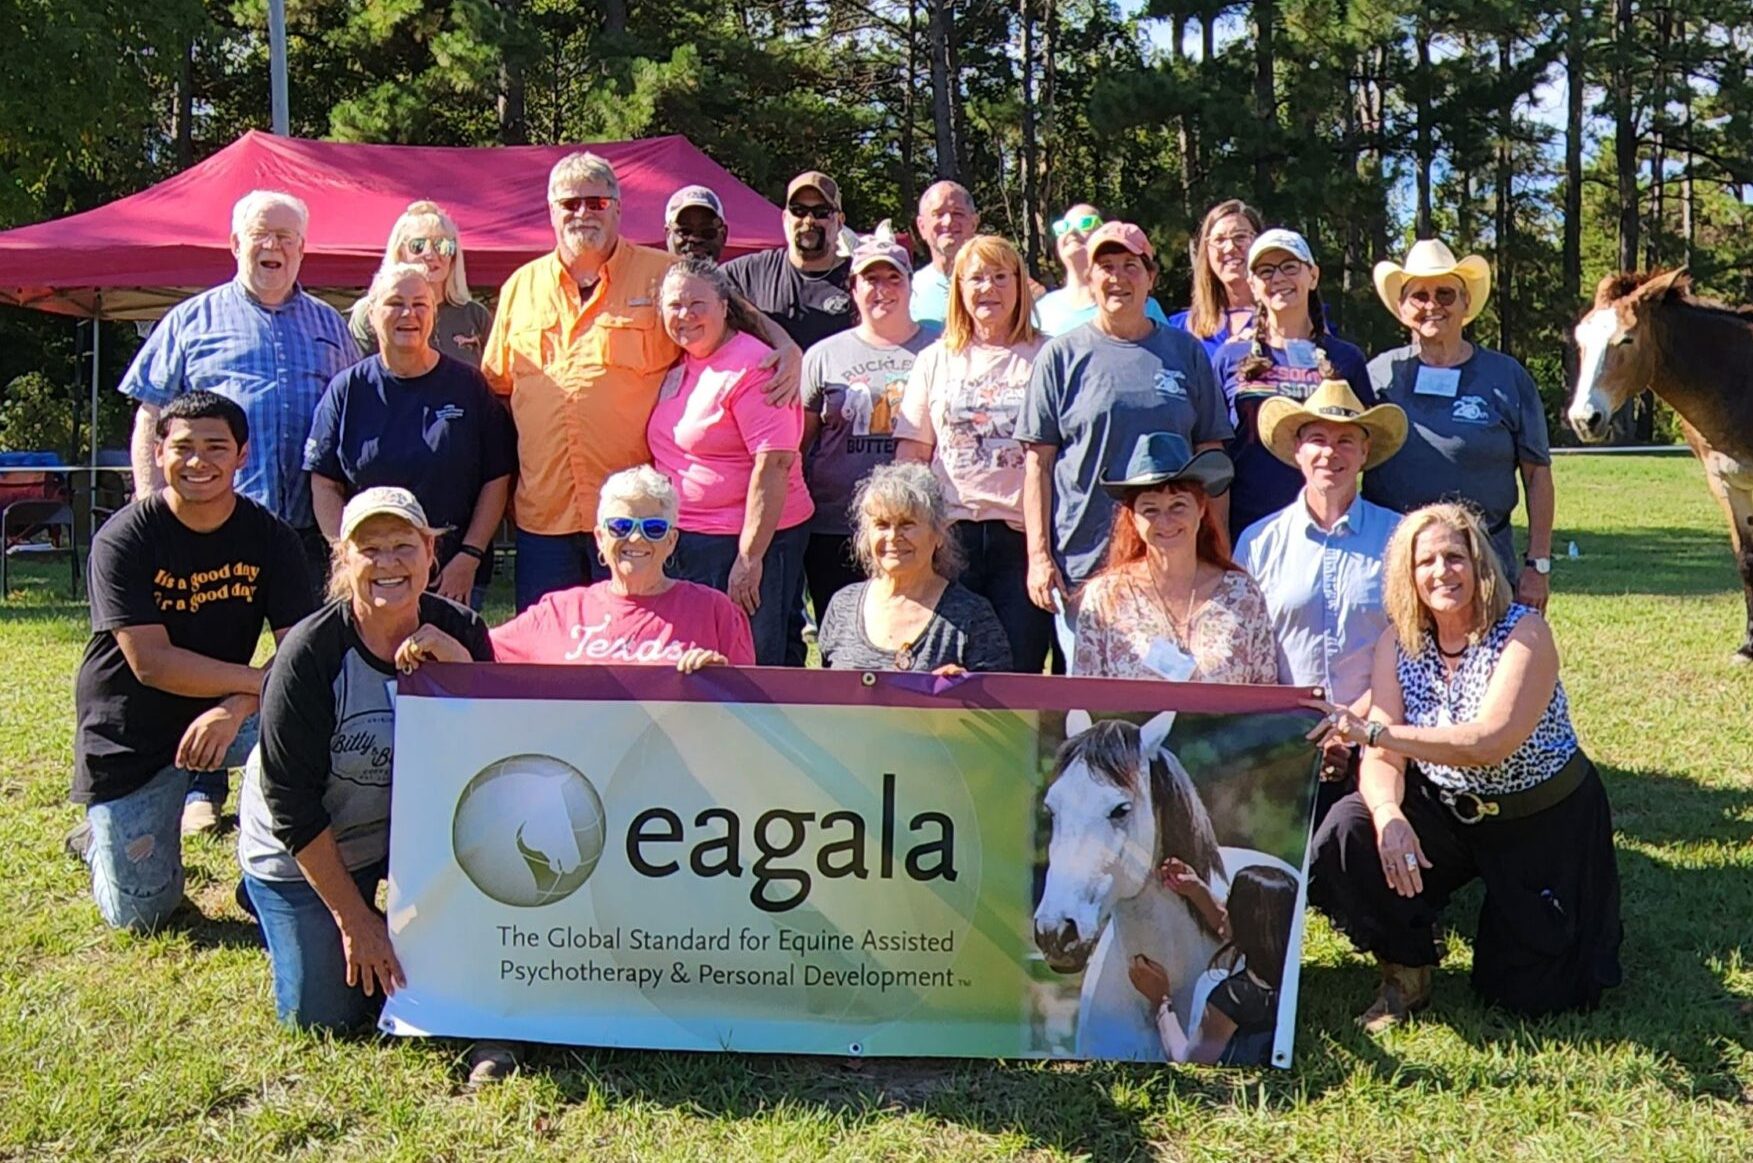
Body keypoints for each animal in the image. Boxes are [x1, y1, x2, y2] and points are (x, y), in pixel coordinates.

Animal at [1570, 266, 1745, 659]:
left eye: (1626, 340)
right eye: (1580, 340)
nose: (1584, 419)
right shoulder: (1726, 486)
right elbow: (1746, 560)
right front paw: (1748, 647)